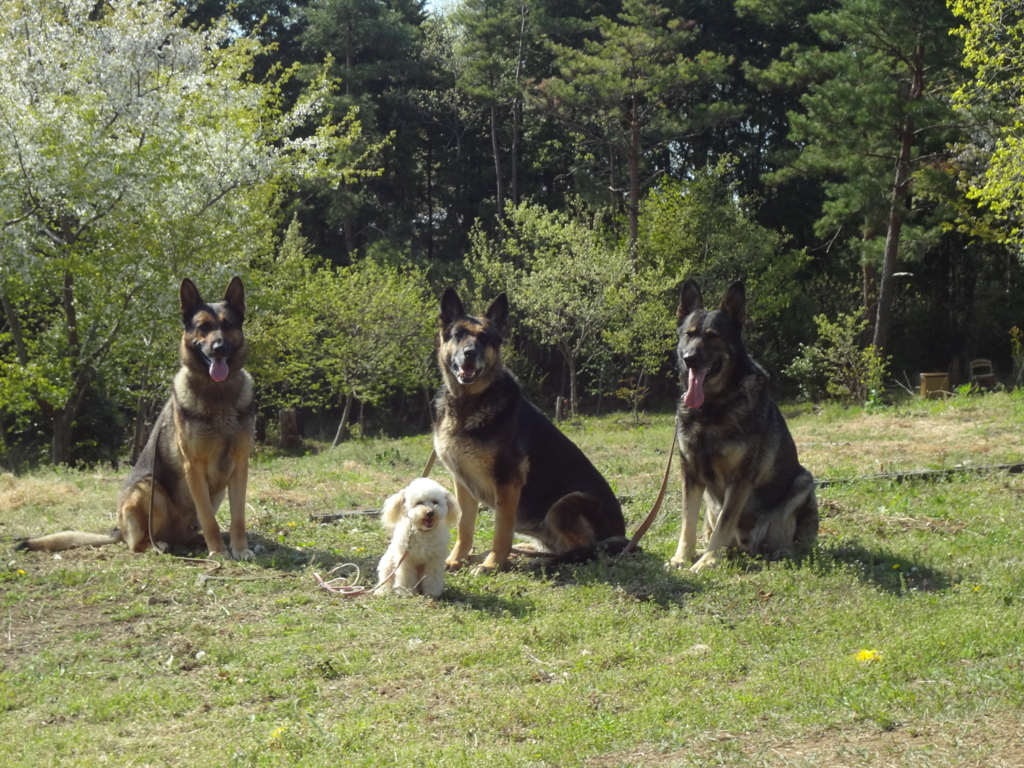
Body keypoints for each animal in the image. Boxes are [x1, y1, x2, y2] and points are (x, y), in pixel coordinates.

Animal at [17, 276, 256, 561]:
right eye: (203, 327)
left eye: (228, 325)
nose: (219, 348)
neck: (218, 396)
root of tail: (118, 531)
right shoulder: (194, 467)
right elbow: (210, 519)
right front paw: (218, 551)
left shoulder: (240, 466)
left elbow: (238, 517)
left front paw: (240, 548)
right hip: (147, 489)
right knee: (138, 543)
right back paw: (158, 545)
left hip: (209, 496)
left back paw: (194, 541)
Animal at [430, 290, 622, 577]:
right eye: (458, 335)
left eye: (485, 338)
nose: (470, 354)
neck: (469, 401)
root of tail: (624, 538)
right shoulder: (463, 483)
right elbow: (465, 527)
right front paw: (457, 559)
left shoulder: (507, 483)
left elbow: (501, 530)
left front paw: (493, 563)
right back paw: (529, 551)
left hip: (564, 504)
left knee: (587, 552)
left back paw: (543, 561)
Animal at [667, 280, 819, 573]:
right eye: (688, 335)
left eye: (712, 336)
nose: (690, 358)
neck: (712, 407)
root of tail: (749, 547)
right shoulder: (690, 474)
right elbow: (687, 521)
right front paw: (682, 557)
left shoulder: (739, 480)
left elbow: (725, 523)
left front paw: (708, 562)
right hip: (711, 503)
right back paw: (705, 551)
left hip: (803, 482)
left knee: (790, 543)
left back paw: (779, 552)